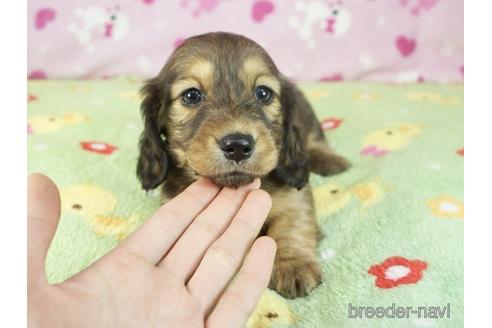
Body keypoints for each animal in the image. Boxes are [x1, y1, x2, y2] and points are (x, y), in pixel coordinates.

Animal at [136, 32, 348, 298]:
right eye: (191, 95)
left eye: (263, 93)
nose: (237, 145)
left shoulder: (294, 197)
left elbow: (291, 224)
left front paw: (293, 265)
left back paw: (329, 160)